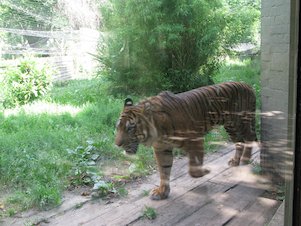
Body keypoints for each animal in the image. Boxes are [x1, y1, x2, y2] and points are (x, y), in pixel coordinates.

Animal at [114, 81, 255, 200]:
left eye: (130, 128)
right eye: (117, 127)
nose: (117, 144)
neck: (158, 130)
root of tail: (247, 85)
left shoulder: (195, 139)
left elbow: (193, 168)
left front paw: (205, 171)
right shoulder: (162, 149)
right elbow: (164, 170)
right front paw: (162, 192)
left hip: (241, 123)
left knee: (250, 138)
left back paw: (245, 159)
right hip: (231, 128)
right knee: (239, 142)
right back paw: (235, 161)